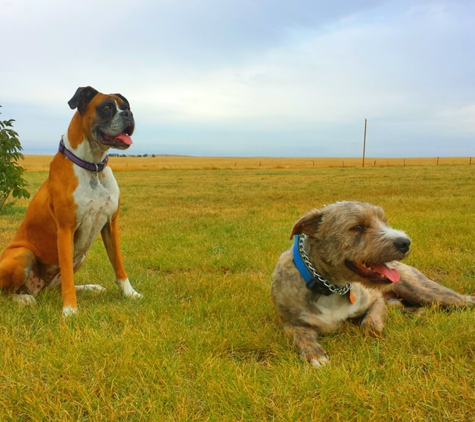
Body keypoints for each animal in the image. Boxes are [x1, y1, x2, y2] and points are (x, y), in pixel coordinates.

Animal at [0, 85, 141, 314]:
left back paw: (90, 288)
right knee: (7, 293)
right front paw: (70, 311)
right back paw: (24, 299)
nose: (129, 114)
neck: (92, 167)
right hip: (22, 254)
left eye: (126, 106)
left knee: (54, 287)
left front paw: (130, 294)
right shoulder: (66, 230)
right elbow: (66, 275)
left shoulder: (110, 225)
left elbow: (118, 264)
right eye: (106, 108)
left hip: (80, 257)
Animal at [272, 201, 475, 366]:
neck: (331, 286)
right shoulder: (292, 323)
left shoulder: (375, 299)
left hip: (424, 291)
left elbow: (370, 325)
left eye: (384, 221)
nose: (405, 242)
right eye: (358, 226)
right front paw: (314, 354)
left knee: (462, 301)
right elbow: (301, 336)